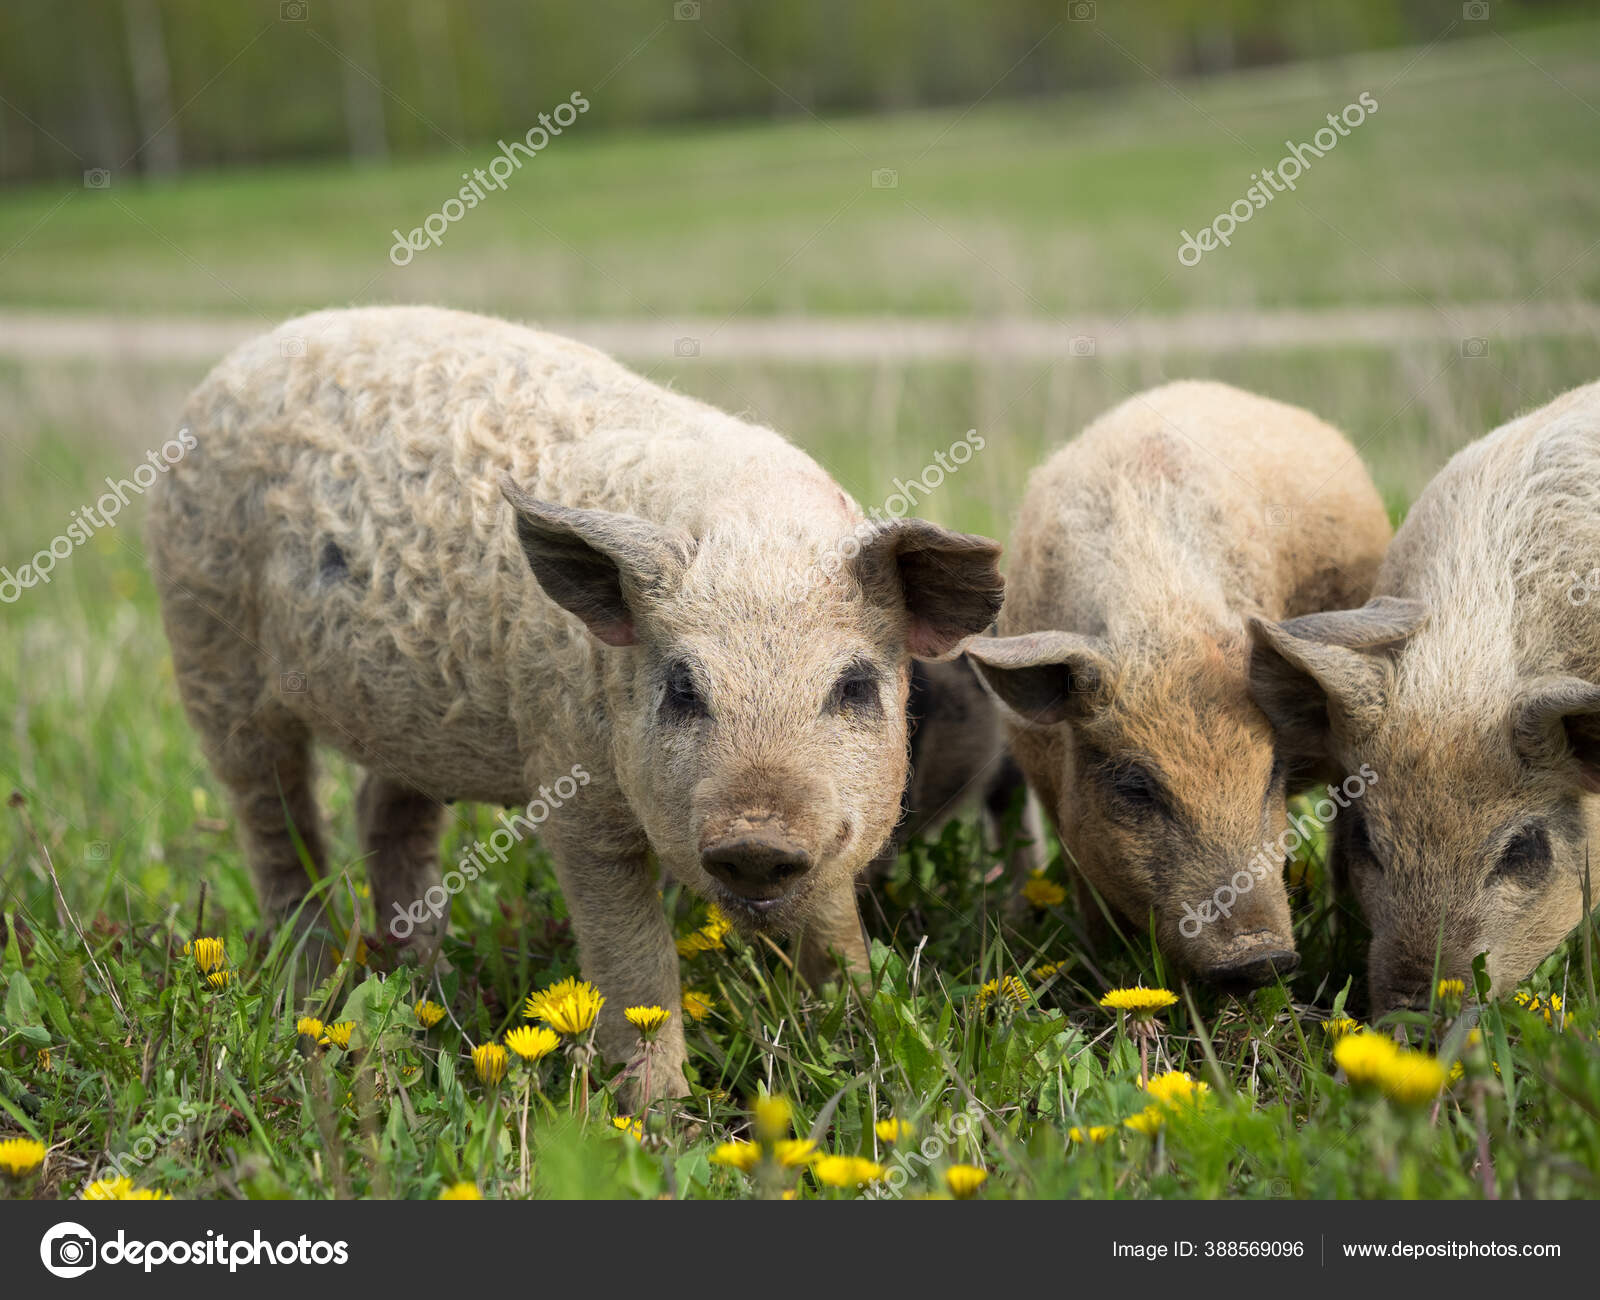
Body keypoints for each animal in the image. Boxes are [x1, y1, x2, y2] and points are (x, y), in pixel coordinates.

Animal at [146, 306, 1004, 1102]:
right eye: (682, 687)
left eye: (854, 684)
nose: (755, 839)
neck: (756, 534)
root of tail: (237, 361)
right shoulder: (571, 787)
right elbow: (633, 966)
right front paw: (658, 1120)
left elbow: (834, 929)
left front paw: (867, 1040)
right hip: (210, 652)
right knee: (275, 824)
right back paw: (314, 993)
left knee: (384, 815)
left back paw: (427, 984)